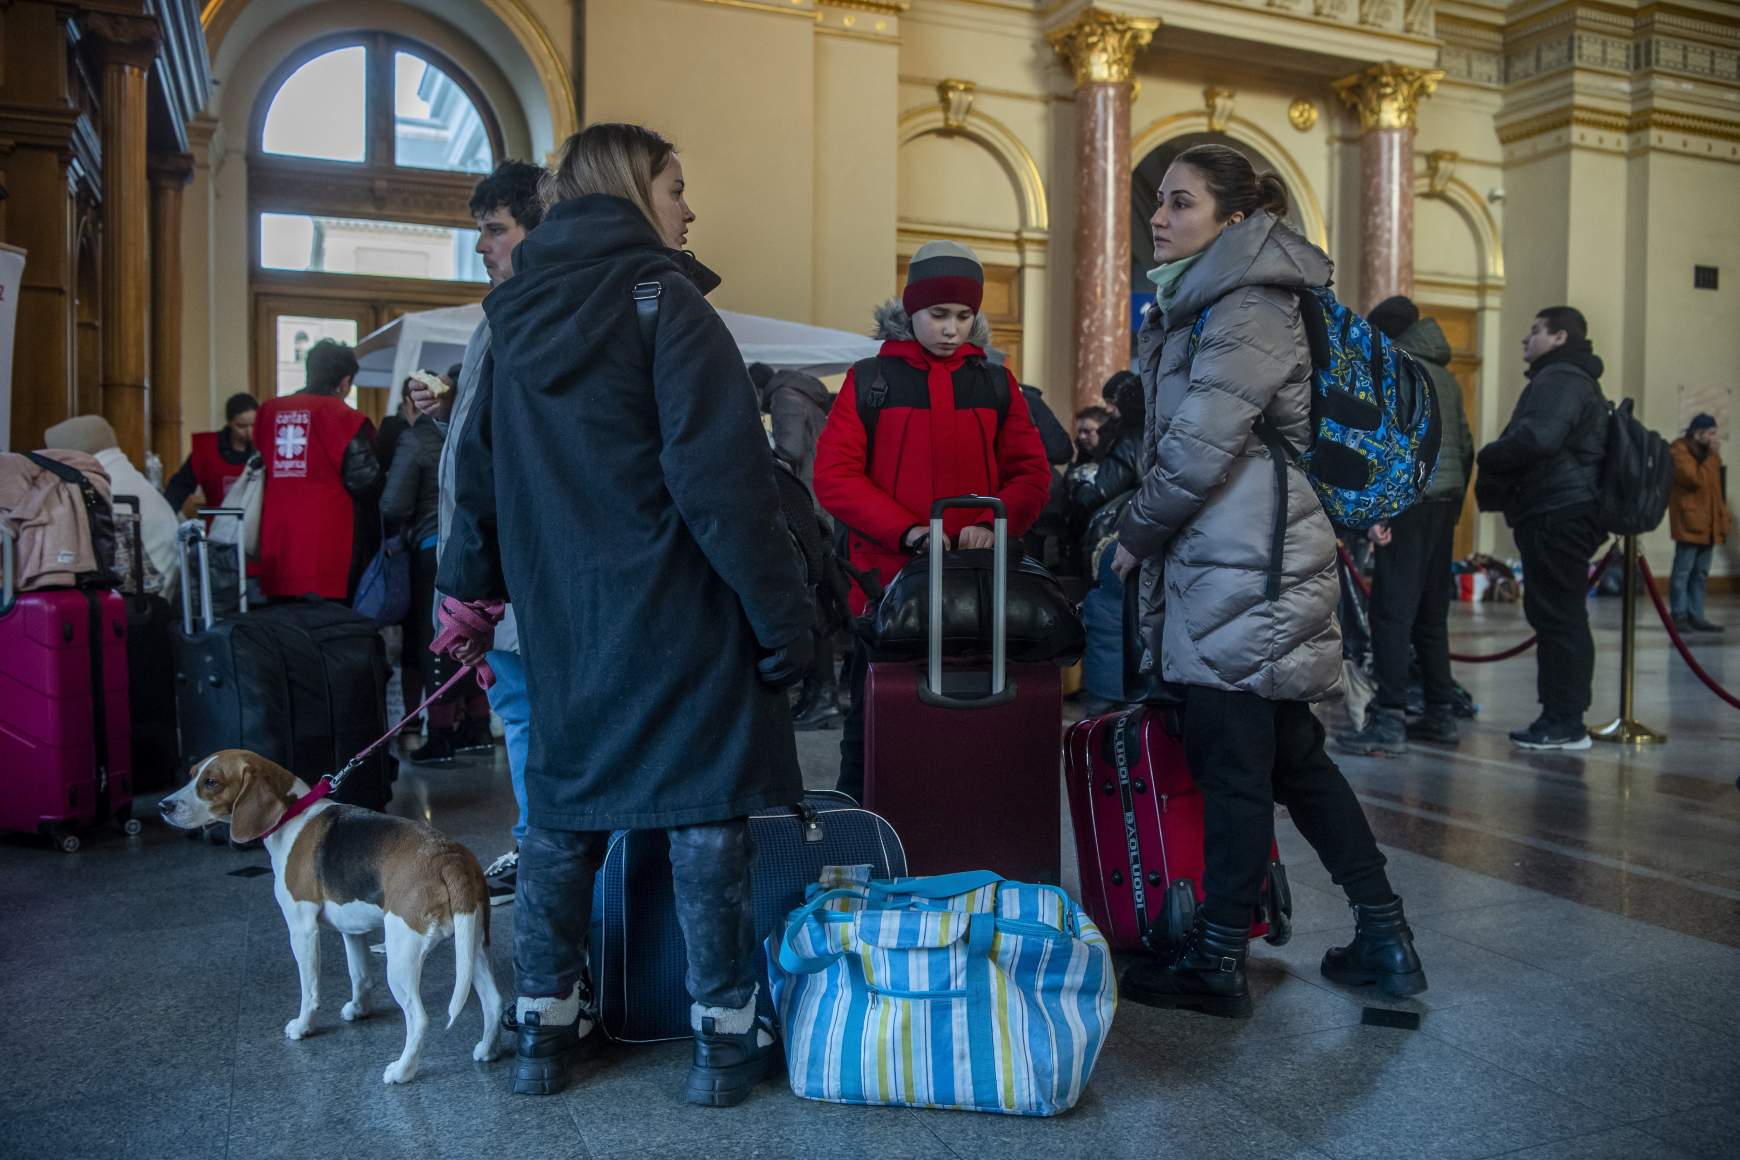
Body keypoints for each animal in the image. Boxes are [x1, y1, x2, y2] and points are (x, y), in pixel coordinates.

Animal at [160, 747, 504, 1085]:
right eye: (191, 775)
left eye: (211, 782)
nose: (164, 806)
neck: (291, 815)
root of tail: (449, 858)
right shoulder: (352, 930)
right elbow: (360, 975)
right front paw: (359, 1009)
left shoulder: (301, 930)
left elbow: (309, 989)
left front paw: (303, 1027)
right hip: (471, 947)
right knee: (494, 1002)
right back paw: (487, 1050)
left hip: (402, 956)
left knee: (419, 1019)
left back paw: (402, 1071)